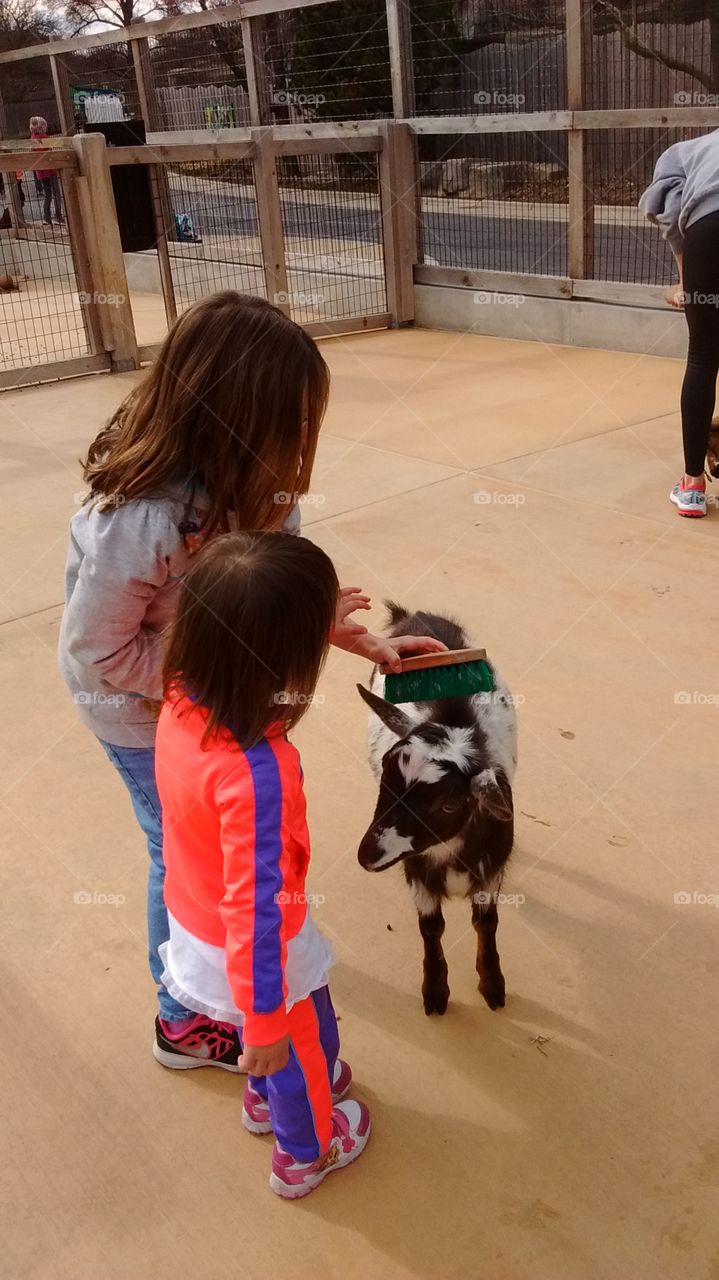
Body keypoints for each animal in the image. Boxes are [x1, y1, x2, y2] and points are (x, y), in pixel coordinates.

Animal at [355, 604, 514, 1013]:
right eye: (385, 774)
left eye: (448, 804)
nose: (368, 854)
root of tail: (413, 615)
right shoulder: (417, 872)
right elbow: (431, 927)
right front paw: (436, 992)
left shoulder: (491, 871)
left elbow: (486, 922)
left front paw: (493, 985)